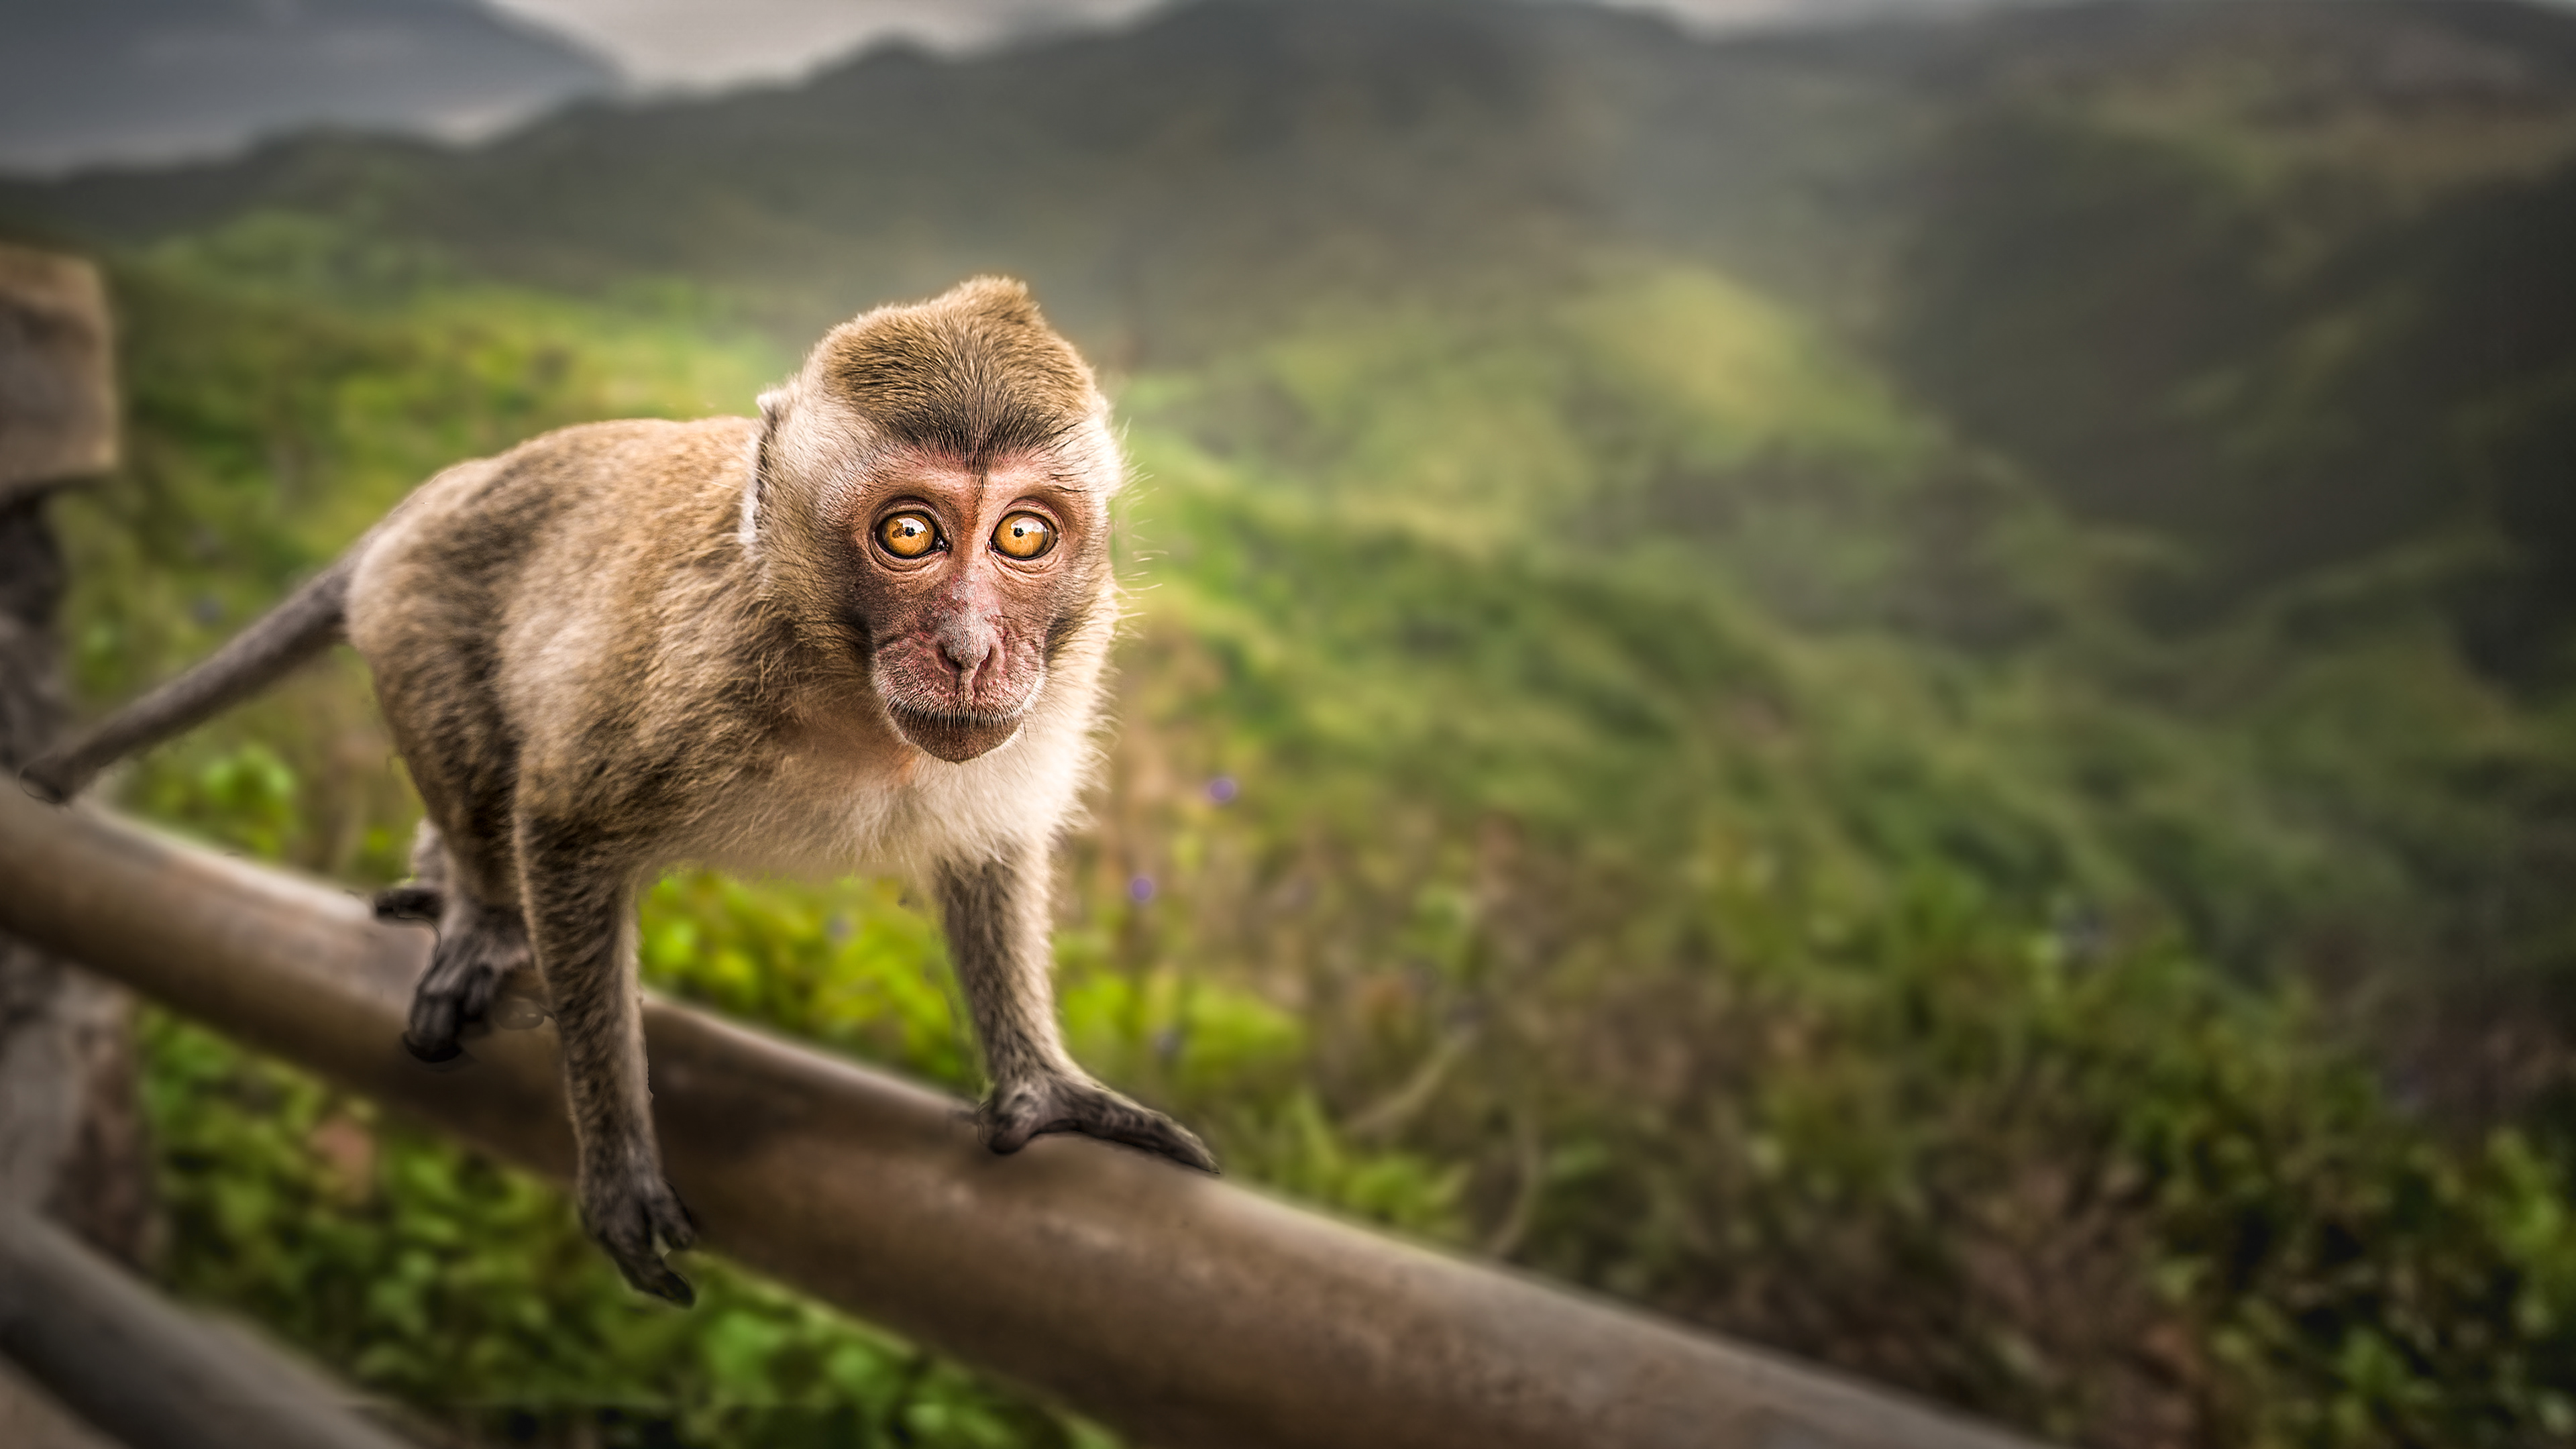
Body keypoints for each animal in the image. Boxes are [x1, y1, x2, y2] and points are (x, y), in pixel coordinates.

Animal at [21, 277, 1215, 1304]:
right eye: (910, 532)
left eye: (1024, 534)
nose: (971, 650)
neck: (847, 690)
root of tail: (441, 493)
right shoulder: (691, 684)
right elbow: (563, 826)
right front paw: (616, 1155)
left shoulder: (1038, 706)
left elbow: (986, 858)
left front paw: (1042, 1087)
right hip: (415, 612)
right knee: (480, 761)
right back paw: (477, 909)